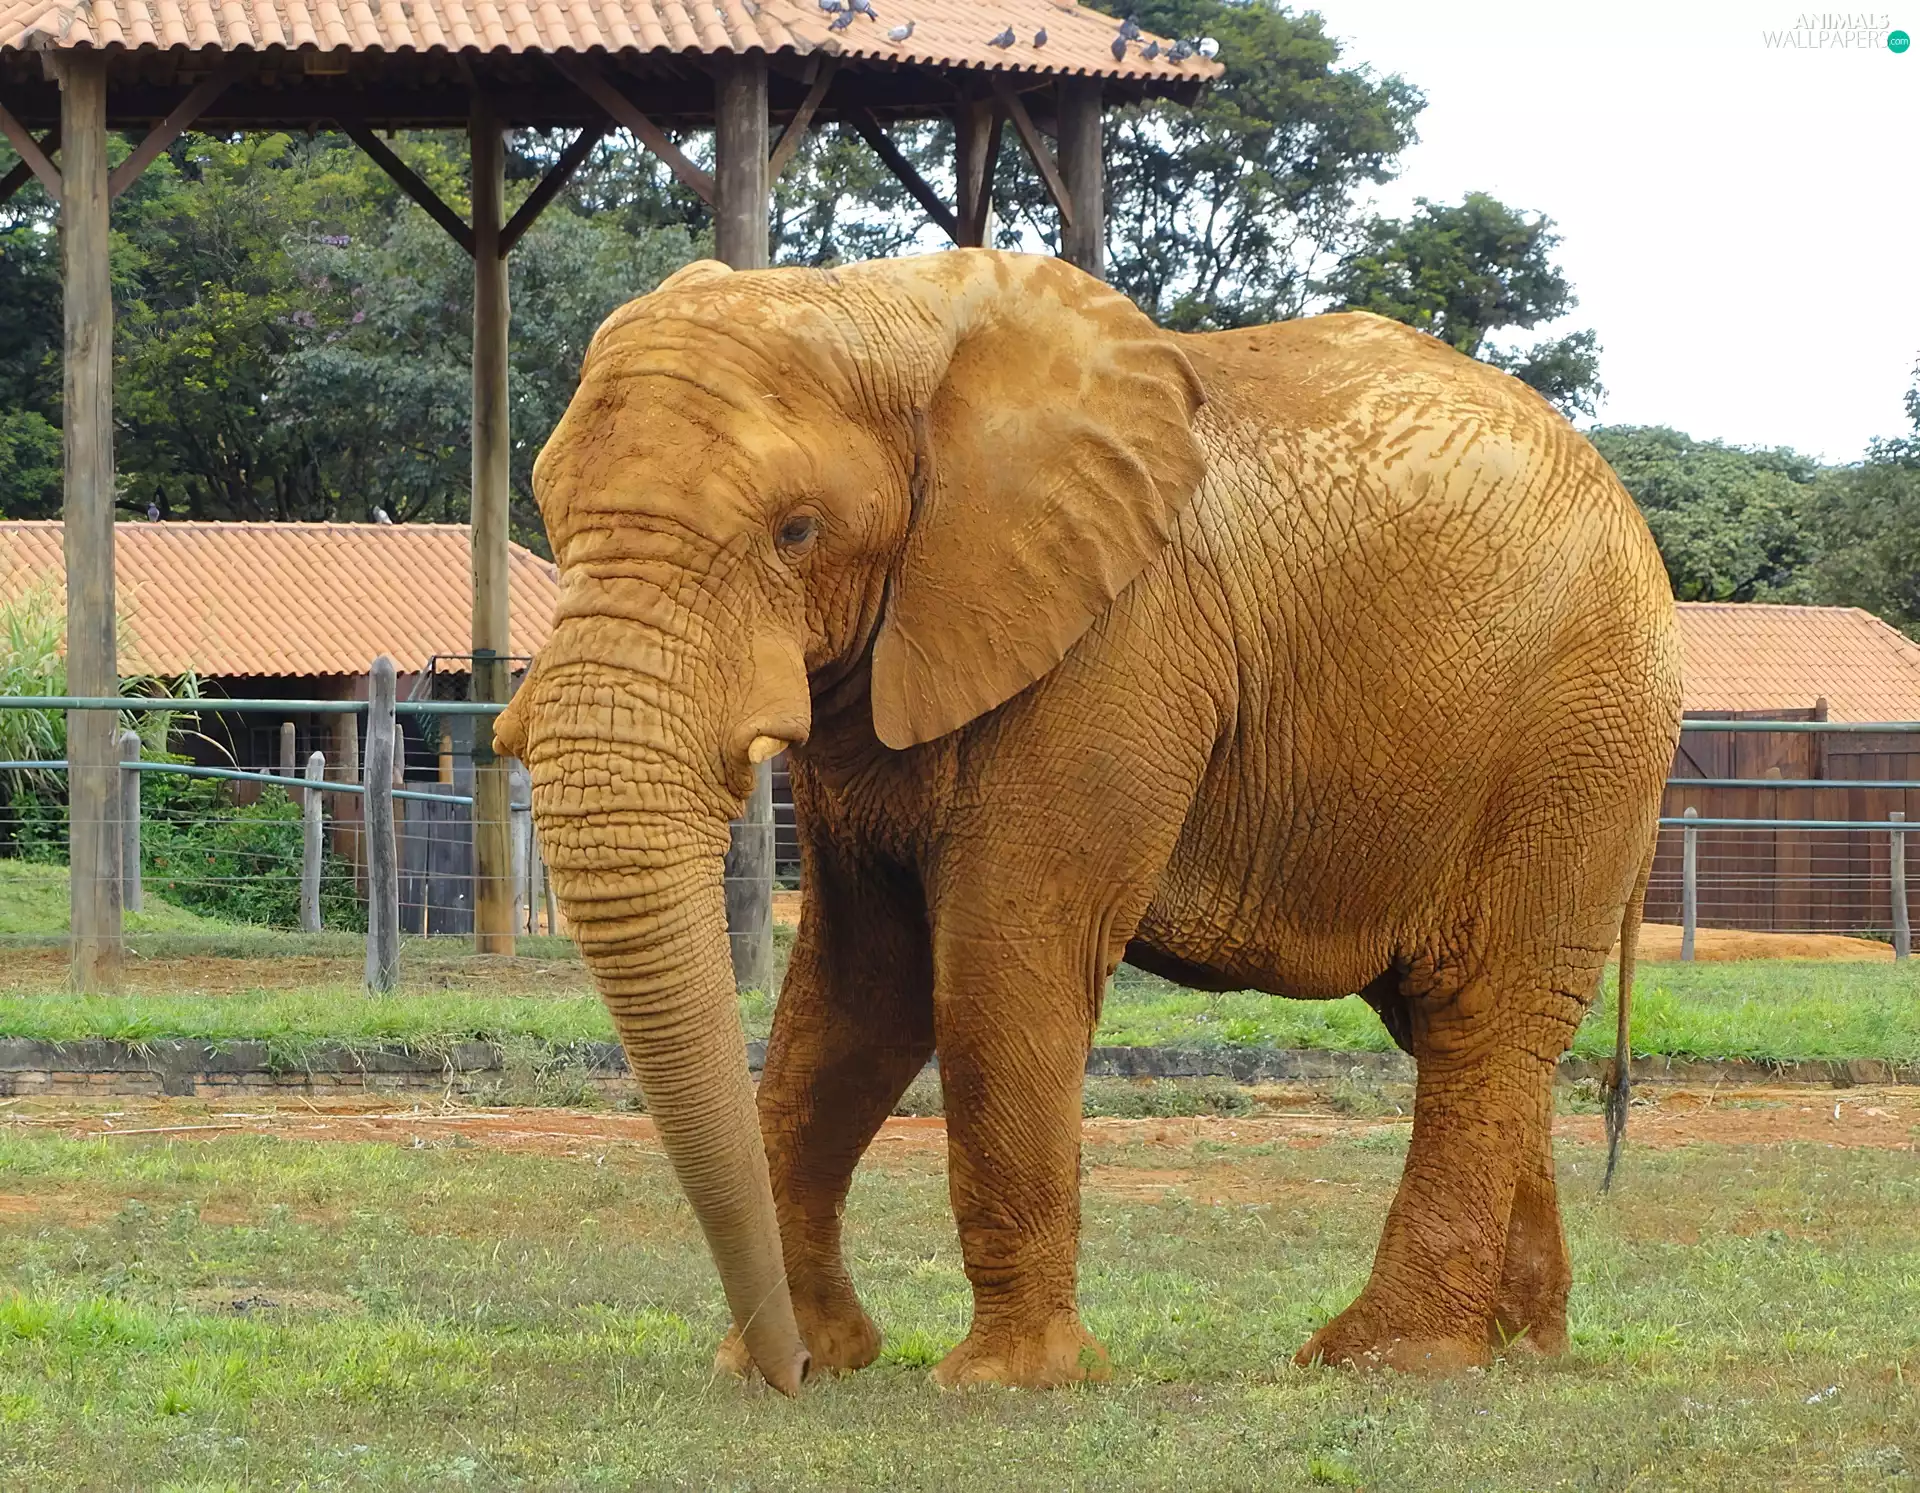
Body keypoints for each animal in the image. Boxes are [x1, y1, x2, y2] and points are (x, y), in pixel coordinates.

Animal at [495, 249, 1681, 1394]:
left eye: (797, 530)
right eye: (548, 507)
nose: (784, 1373)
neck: (892, 307)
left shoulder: (1116, 642)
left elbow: (998, 960)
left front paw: (1007, 1383)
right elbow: (857, 989)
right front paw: (808, 1359)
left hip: (1579, 740)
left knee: (1485, 1011)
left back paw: (1386, 1358)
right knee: (1449, 1023)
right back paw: (1520, 1347)